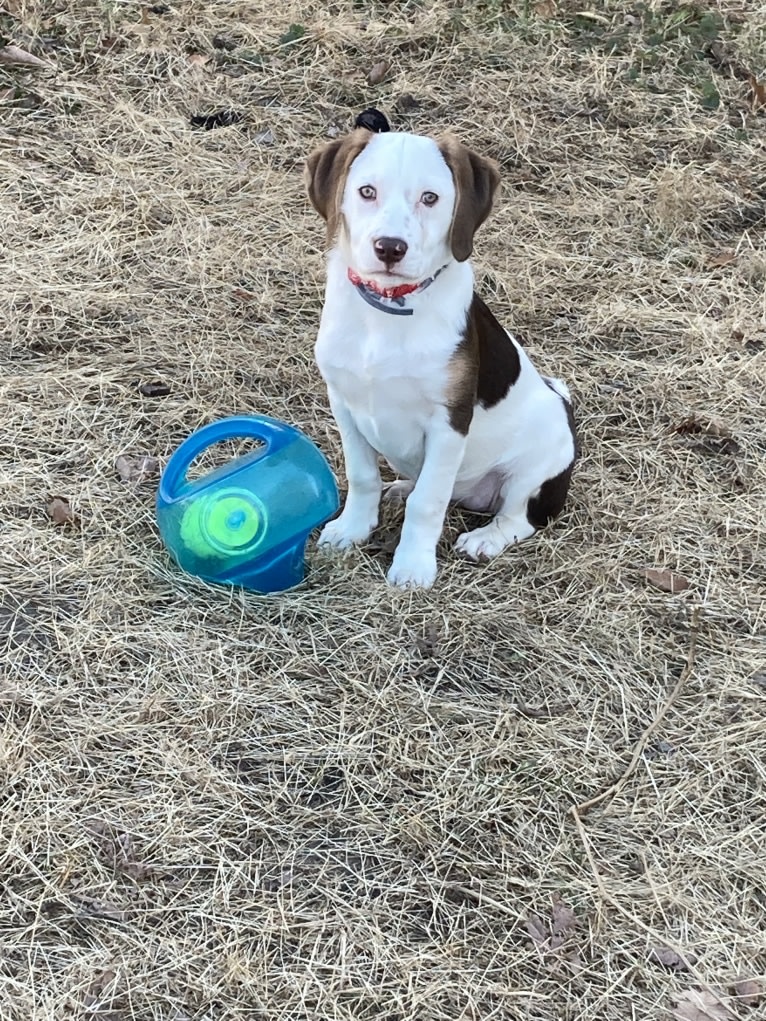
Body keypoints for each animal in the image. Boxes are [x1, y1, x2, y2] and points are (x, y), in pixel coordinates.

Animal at [306, 122, 576, 592]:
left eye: (430, 198)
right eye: (366, 191)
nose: (389, 247)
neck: (389, 309)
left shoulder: (450, 420)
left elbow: (428, 502)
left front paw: (413, 567)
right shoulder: (343, 404)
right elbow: (363, 476)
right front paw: (352, 529)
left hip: (540, 459)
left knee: (519, 518)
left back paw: (486, 538)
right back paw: (400, 487)